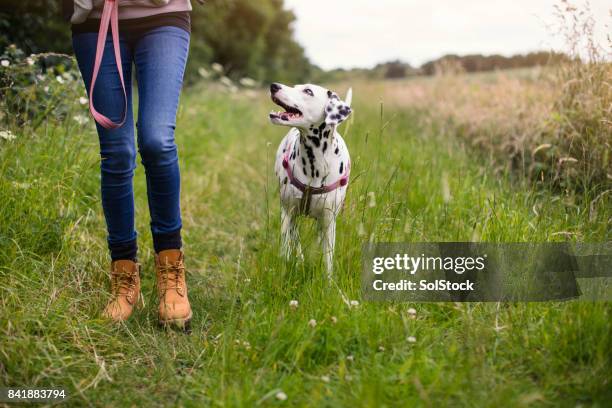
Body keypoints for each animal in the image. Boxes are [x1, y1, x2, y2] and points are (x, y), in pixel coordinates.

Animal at [268, 83, 352, 276]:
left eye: (308, 91)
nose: (274, 86)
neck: (315, 164)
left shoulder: (329, 221)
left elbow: (328, 259)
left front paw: (328, 281)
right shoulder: (287, 213)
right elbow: (286, 248)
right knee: (295, 239)